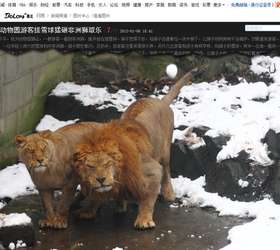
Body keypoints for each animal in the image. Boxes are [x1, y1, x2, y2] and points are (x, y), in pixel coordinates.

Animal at [72, 68, 197, 229]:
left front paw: (144, 220)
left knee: (167, 170)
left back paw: (168, 193)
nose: (101, 179)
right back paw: (120, 204)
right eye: (90, 166)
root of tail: (159, 100)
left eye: (107, 163)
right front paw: (89, 210)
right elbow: (97, 194)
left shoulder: (152, 170)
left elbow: (147, 198)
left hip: (164, 152)